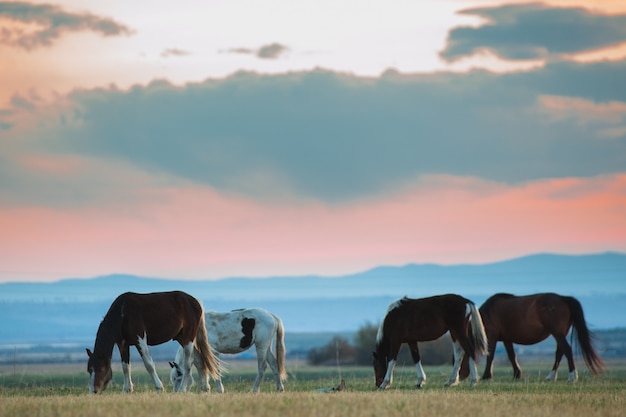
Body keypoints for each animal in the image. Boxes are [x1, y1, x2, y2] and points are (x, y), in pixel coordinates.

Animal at [84, 290, 222, 392]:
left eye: (101, 369)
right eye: (89, 369)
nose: (93, 390)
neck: (122, 313)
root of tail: (195, 302)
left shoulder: (140, 340)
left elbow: (149, 364)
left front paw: (159, 388)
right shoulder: (122, 344)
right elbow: (125, 367)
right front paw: (127, 390)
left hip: (188, 339)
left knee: (188, 364)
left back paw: (182, 389)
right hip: (183, 339)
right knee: (199, 361)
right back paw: (203, 389)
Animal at [458, 290, 600, 382]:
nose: (460, 375)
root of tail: (563, 298)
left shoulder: (491, 337)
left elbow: (490, 356)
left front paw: (486, 376)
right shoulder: (507, 339)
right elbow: (511, 356)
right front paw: (517, 374)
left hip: (557, 333)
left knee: (567, 350)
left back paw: (572, 376)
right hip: (560, 333)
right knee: (560, 352)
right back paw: (551, 376)